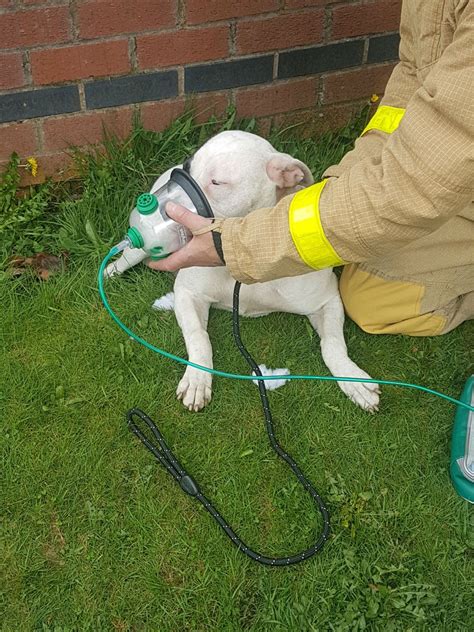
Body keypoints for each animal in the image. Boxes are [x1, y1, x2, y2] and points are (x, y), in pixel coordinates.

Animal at [105, 131, 380, 412]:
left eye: (217, 182)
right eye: (189, 167)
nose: (164, 209)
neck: (246, 248)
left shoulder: (327, 300)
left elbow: (333, 344)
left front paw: (353, 378)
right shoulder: (187, 293)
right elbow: (198, 336)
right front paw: (197, 379)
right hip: (139, 250)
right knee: (125, 258)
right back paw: (109, 272)